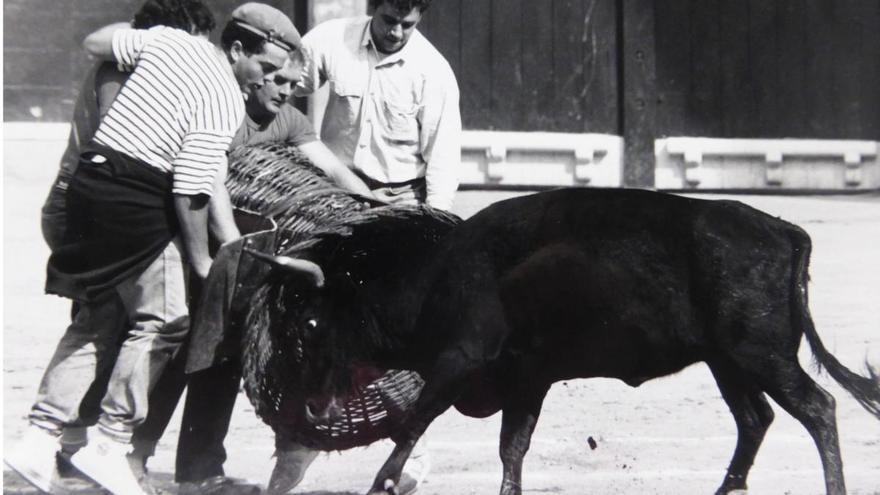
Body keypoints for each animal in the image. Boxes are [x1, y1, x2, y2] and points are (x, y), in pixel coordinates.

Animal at [251, 187, 876, 495]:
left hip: (760, 354)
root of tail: (785, 229)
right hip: (728, 362)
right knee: (755, 420)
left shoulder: (461, 361)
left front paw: (382, 483)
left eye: (310, 325)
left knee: (817, 408)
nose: (313, 407)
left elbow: (413, 425)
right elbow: (512, 449)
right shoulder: (526, 379)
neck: (438, 276)